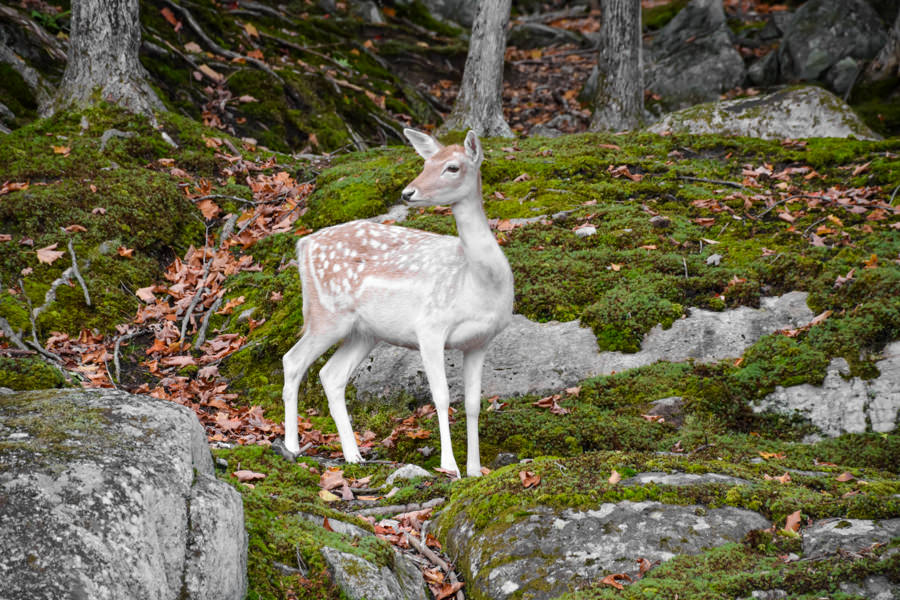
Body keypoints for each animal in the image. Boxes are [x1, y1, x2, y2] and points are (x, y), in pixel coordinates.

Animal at [282, 127, 512, 478]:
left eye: (452, 167)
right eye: (426, 162)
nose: (408, 192)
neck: (477, 282)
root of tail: (303, 243)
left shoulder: (480, 340)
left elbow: (473, 403)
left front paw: (474, 470)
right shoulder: (430, 327)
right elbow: (442, 396)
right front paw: (450, 467)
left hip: (365, 332)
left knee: (331, 375)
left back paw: (354, 455)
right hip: (327, 315)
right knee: (293, 361)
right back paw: (293, 447)